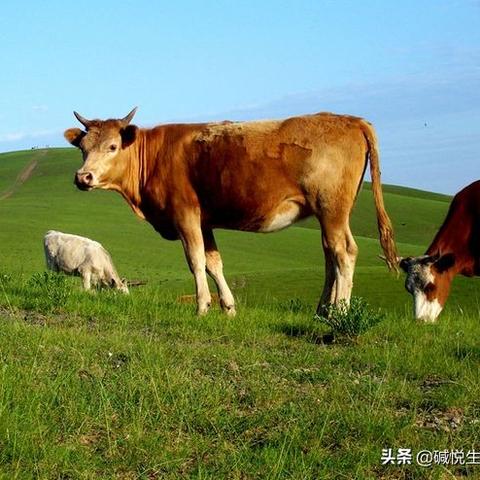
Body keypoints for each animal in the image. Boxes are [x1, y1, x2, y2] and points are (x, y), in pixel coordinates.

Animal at [63, 108, 398, 316]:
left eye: (112, 146)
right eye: (83, 148)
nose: (82, 177)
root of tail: (351, 120)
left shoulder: (185, 215)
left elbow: (195, 261)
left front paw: (202, 307)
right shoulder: (204, 221)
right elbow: (214, 263)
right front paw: (228, 307)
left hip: (331, 208)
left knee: (344, 253)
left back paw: (339, 311)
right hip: (328, 213)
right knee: (330, 255)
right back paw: (322, 310)